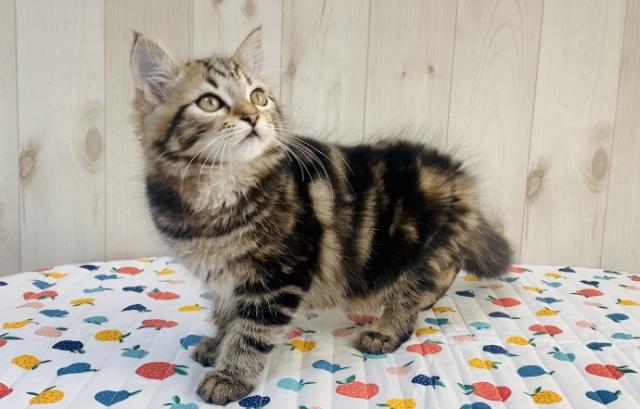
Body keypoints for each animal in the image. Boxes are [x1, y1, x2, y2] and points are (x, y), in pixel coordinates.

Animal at [130, 27, 512, 405]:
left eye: (258, 97)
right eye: (210, 102)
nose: (252, 117)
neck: (218, 193)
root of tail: (460, 176)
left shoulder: (280, 275)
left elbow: (252, 332)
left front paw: (231, 376)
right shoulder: (225, 279)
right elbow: (227, 318)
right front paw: (217, 345)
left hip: (415, 250)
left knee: (413, 291)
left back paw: (385, 329)